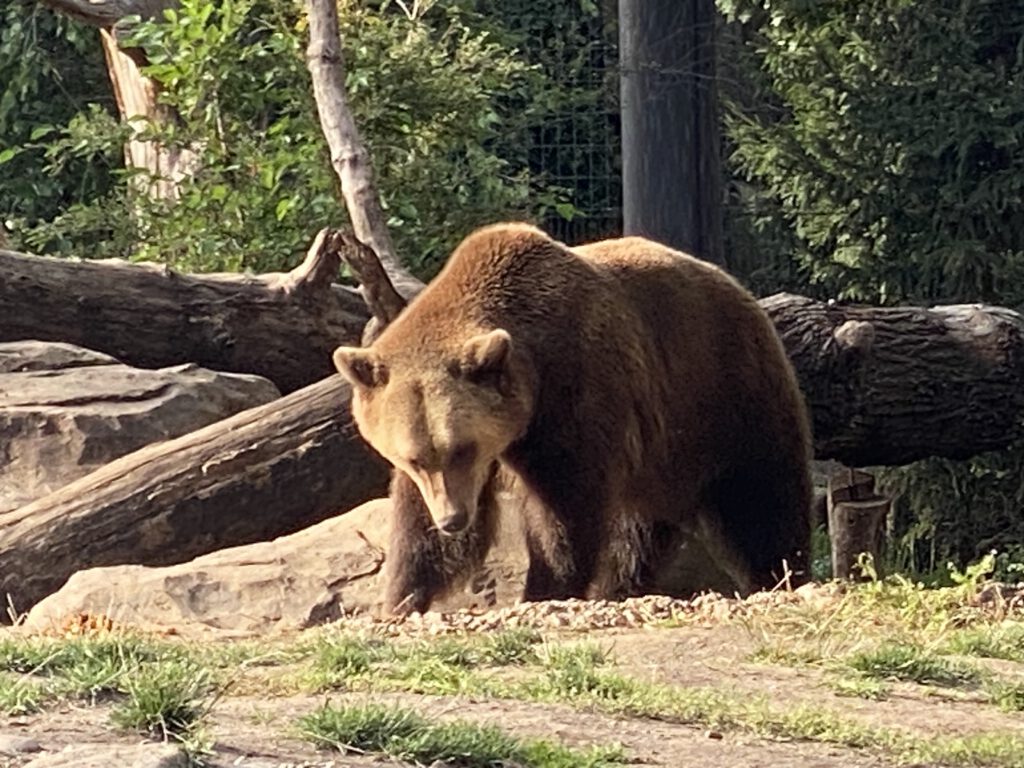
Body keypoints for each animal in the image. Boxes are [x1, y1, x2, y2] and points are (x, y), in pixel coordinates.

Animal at [331, 222, 811, 614]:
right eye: (415, 457)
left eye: (462, 448)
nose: (452, 519)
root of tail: (738, 288)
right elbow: (418, 525)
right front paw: (402, 597)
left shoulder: (572, 399)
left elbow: (564, 514)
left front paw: (545, 588)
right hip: (658, 454)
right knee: (638, 530)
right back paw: (620, 586)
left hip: (724, 396)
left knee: (761, 498)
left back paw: (781, 573)